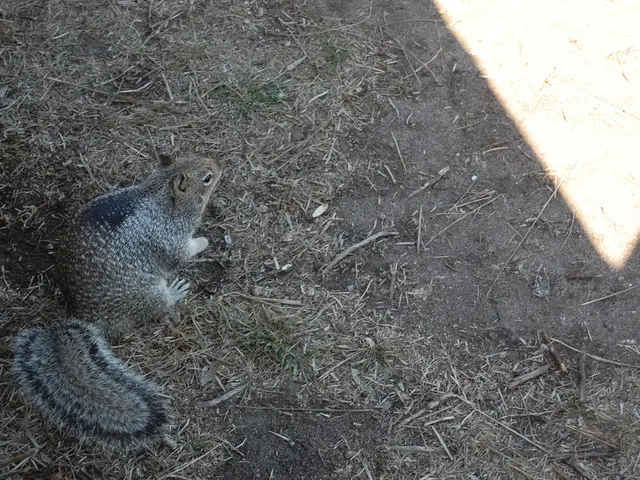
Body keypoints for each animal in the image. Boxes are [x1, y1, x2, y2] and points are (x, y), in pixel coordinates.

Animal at [11, 153, 223, 445]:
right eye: (207, 178)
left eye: (194, 156)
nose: (220, 166)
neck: (160, 195)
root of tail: (88, 317)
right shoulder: (170, 239)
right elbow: (182, 254)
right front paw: (202, 241)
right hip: (150, 293)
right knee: (158, 308)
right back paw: (175, 293)